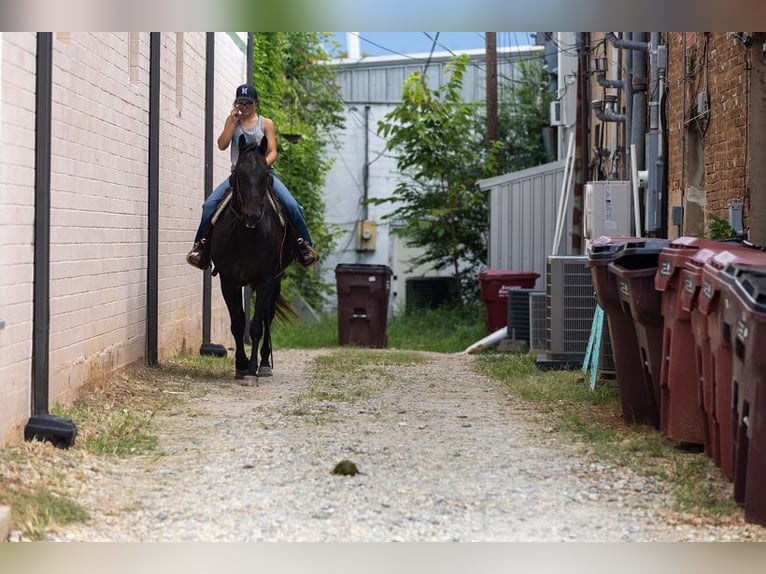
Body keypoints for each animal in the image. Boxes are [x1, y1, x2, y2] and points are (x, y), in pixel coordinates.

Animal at [209, 134, 296, 381]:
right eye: (239, 173)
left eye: (266, 174)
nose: (252, 215)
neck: (246, 235)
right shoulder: (228, 280)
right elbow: (238, 323)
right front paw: (240, 364)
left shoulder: (266, 279)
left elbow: (256, 325)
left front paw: (251, 369)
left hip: (276, 280)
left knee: (267, 317)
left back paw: (265, 363)